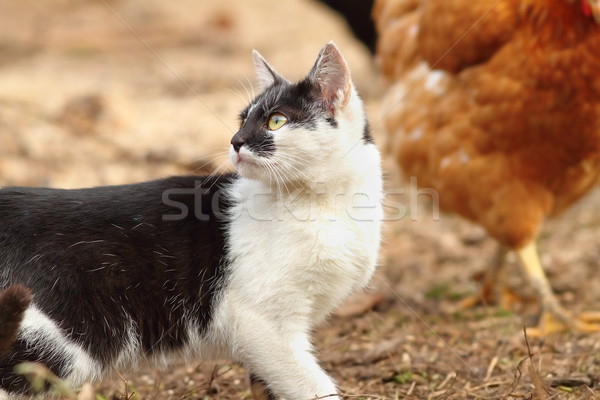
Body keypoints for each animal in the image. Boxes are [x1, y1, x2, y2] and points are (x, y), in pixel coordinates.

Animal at [0, 43, 382, 400]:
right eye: (242, 120)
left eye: (276, 120)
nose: (235, 141)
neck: (319, 203)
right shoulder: (262, 324)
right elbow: (313, 386)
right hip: (51, 343)